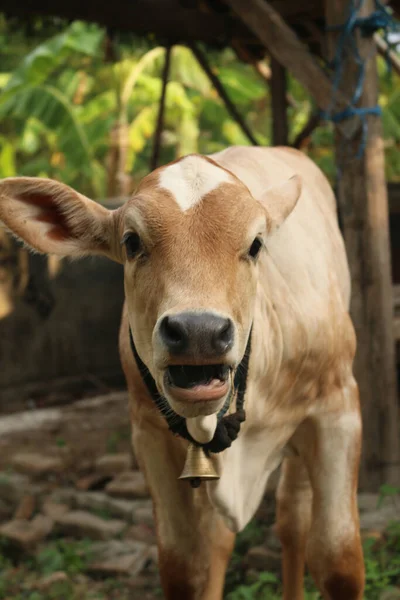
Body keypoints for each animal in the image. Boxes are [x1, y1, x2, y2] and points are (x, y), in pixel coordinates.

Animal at [0, 146, 362, 600]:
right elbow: (184, 565)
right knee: (223, 536)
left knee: (292, 519)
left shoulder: (337, 410)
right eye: (131, 242)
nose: (199, 332)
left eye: (256, 244)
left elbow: (337, 559)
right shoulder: (149, 434)